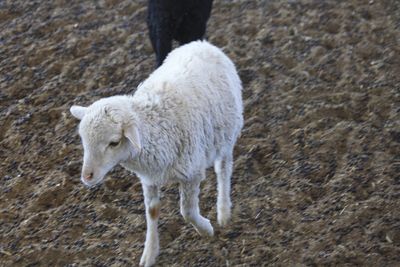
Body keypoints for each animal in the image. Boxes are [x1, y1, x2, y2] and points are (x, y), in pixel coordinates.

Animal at [70, 40, 242, 266]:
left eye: (114, 142)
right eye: (83, 140)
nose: (87, 176)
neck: (155, 125)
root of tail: (201, 44)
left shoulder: (191, 173)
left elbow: (187, 211)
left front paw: (206, 229)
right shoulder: (149, 179)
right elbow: (151, 212)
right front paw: (150, 253)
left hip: (227, 134)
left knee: (223, 169)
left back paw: (223, 211)